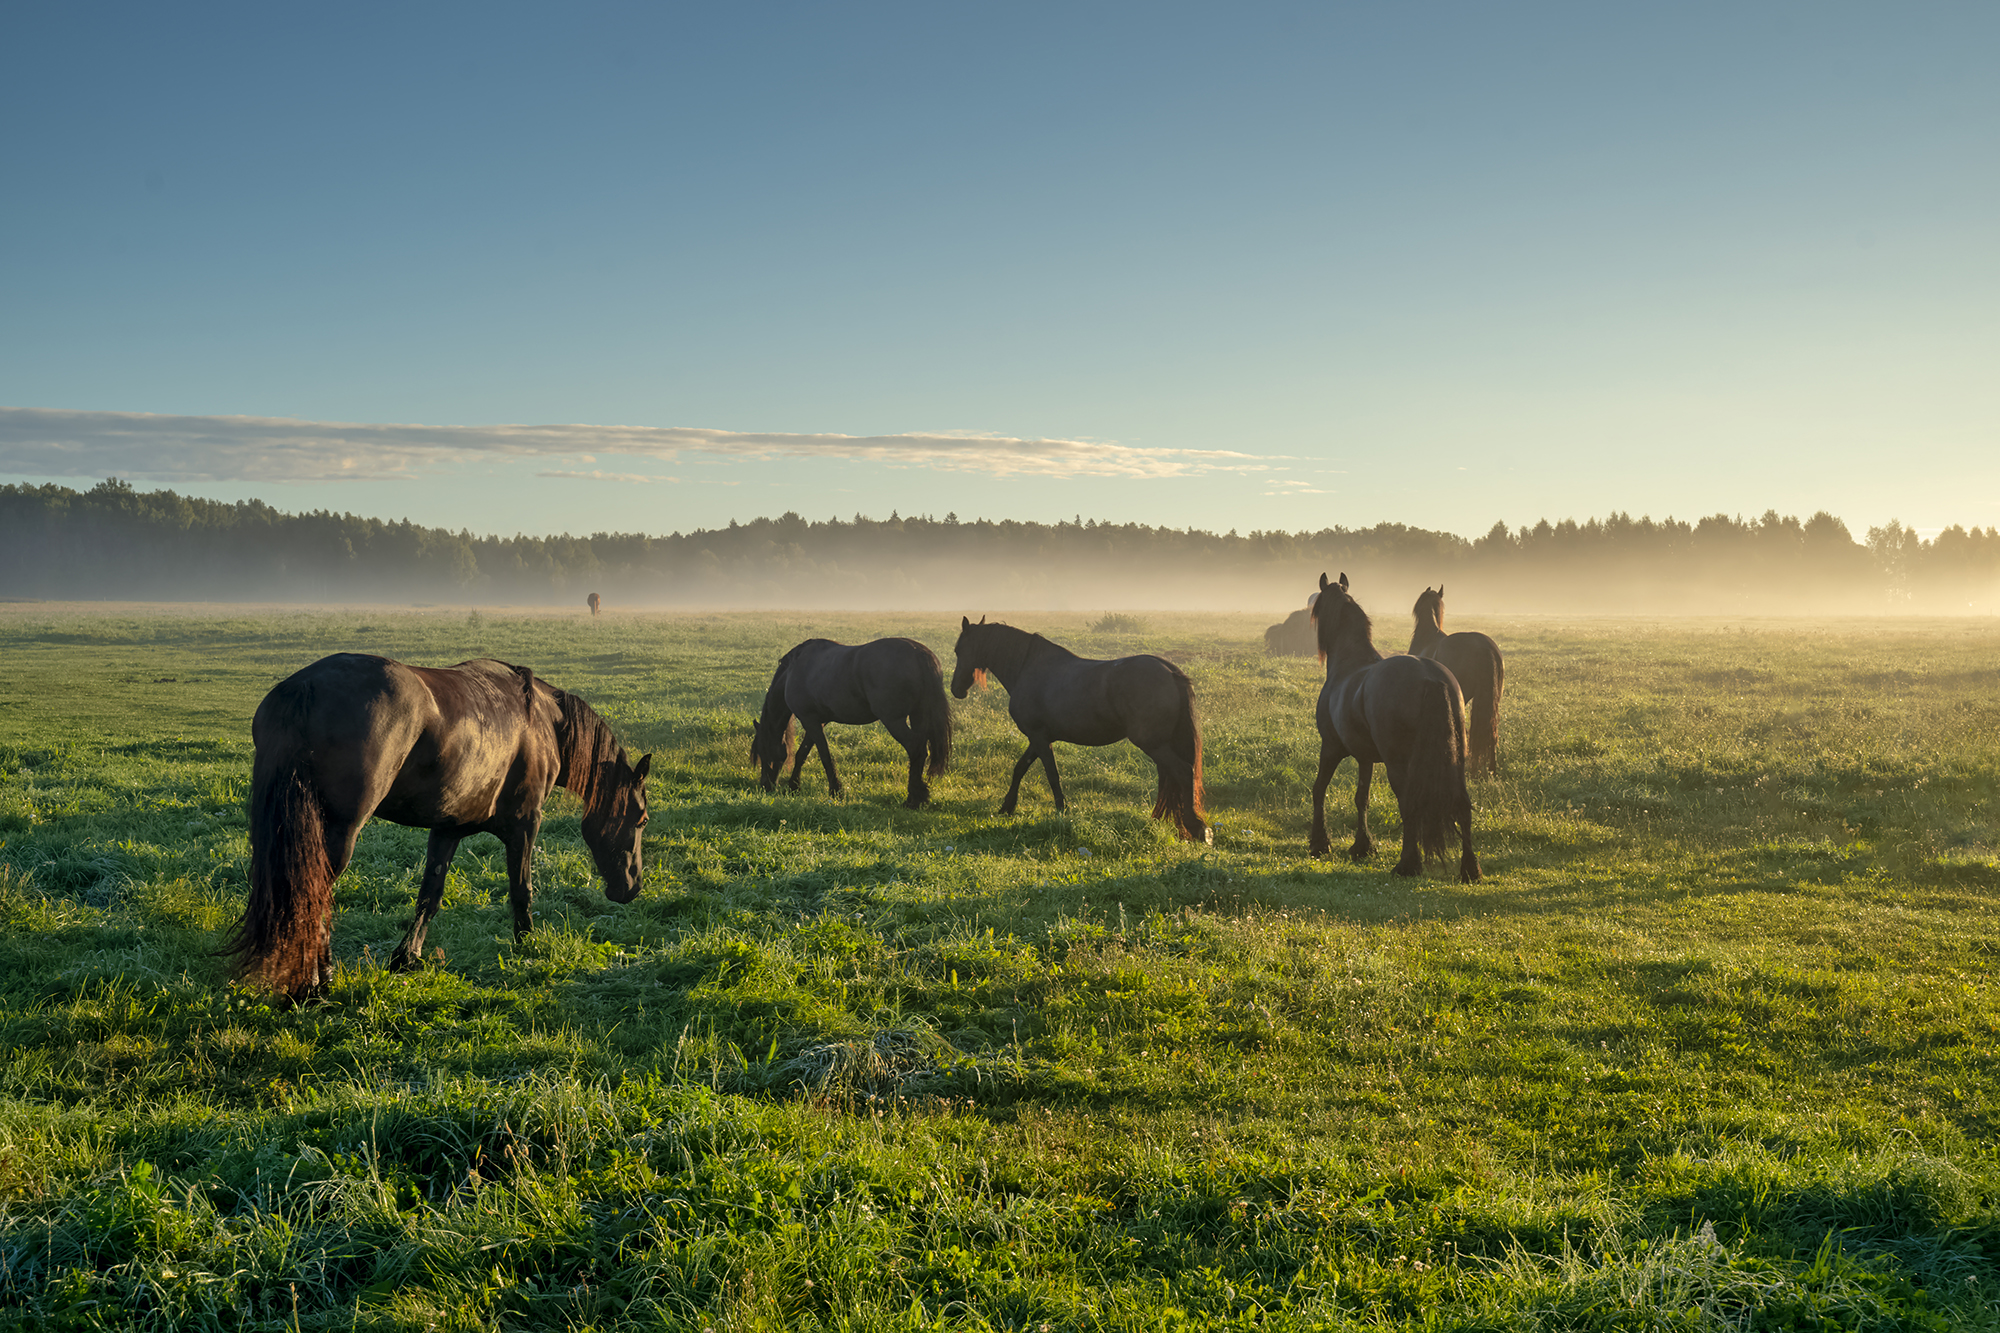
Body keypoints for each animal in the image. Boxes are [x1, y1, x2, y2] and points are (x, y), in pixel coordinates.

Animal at [228, 652, 652, 996]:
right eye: (642, 819)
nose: (631, 887)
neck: (542, 720)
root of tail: (306, 686)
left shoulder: (448, 827)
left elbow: (430, 895)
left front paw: (407, 957)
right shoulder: (525, 824)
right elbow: (522, 889)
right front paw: (527, 944)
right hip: (337, 834)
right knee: (315, 896)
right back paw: (319, 982)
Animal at [752, 636, 952, 808]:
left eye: (763, 751)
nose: (765, 786)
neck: (793, 671)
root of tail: (919, 654)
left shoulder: (809, 720)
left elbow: (824, 755)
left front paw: (835, 791)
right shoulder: (816, 721)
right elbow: (802, 754)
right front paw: (794, 786)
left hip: (894, 721)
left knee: (915, 747)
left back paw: (913, 799)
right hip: (918, 717)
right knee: (921, 750)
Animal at [948, 616, 1208, 840]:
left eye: (958, 650)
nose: (956, 689)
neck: (1027, 668)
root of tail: (1170, 672)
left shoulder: (1039, 737)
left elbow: (1052, 774)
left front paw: (1062, 811)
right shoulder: (1039, 738)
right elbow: (1020, 768)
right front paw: (1007, 807)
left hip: (1153, 744)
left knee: (1184, 772)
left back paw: (1197, 827)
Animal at [1304, 564, 1480, 876]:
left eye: (1318, 606)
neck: (1348, 664)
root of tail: (1431, 677)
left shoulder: (1331, 748)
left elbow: (1319, 790)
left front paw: (1320, 843)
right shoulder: (1364, 756)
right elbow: (1361, 797)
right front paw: (1362, 846)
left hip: (1398, 762)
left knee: (1409, 802)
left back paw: (1408, 864)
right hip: (1456, 758)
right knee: (1463, 804)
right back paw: (1469, 869)